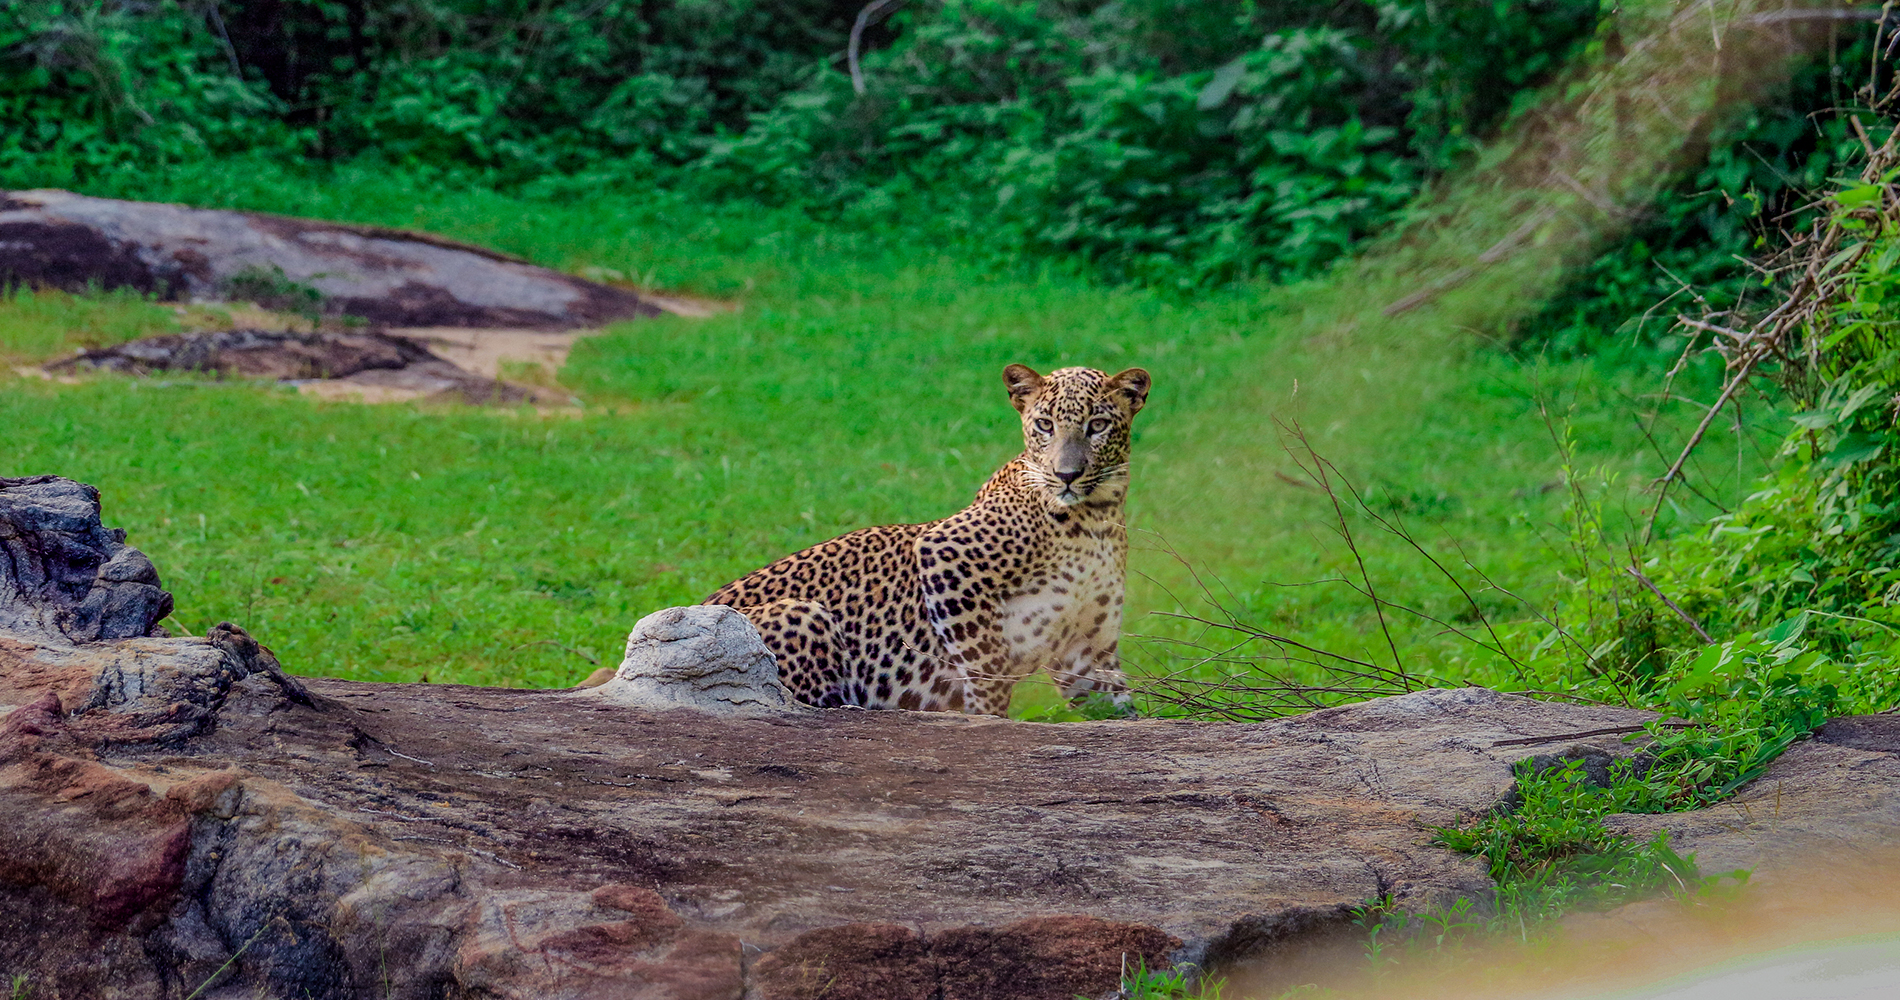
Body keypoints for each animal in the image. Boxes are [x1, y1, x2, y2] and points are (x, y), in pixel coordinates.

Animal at [699, 365, 1140, 718]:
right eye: (1045, 425)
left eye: (1097, 426)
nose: (1066, 474)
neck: (1094, 517)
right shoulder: (945, 557)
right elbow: (987, 670)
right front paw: (985, 718)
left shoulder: (1088, 648)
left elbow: (1117, 706)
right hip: (804, 614)